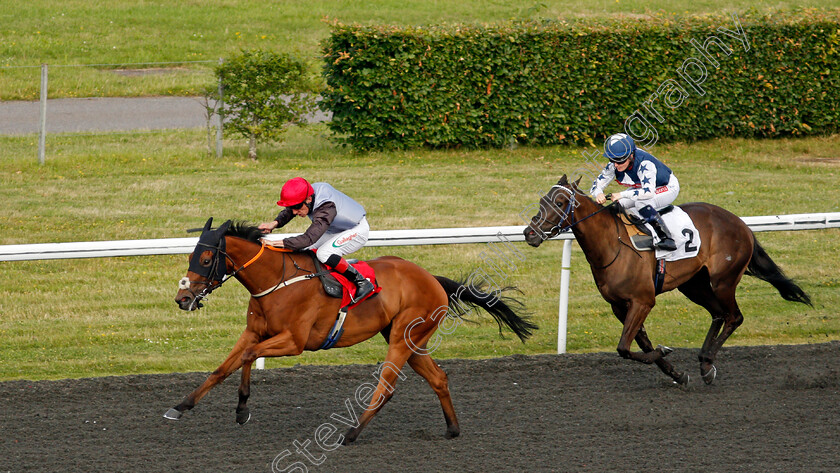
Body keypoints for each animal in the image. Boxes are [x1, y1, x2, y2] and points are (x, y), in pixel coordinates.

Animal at [524, 175, 808, 386]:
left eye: (560, 202)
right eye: (542, 200)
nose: (529, 233)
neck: (612, 244)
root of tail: (740, 223)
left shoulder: (642, 301)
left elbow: (624, 347)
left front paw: (665, 352)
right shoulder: (619, 306)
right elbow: (639, 344)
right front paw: (677, 373)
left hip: (723, 281)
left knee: (734, 317)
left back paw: (708, 363)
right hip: (693, 284)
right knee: (718, 314)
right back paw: (704, 360)